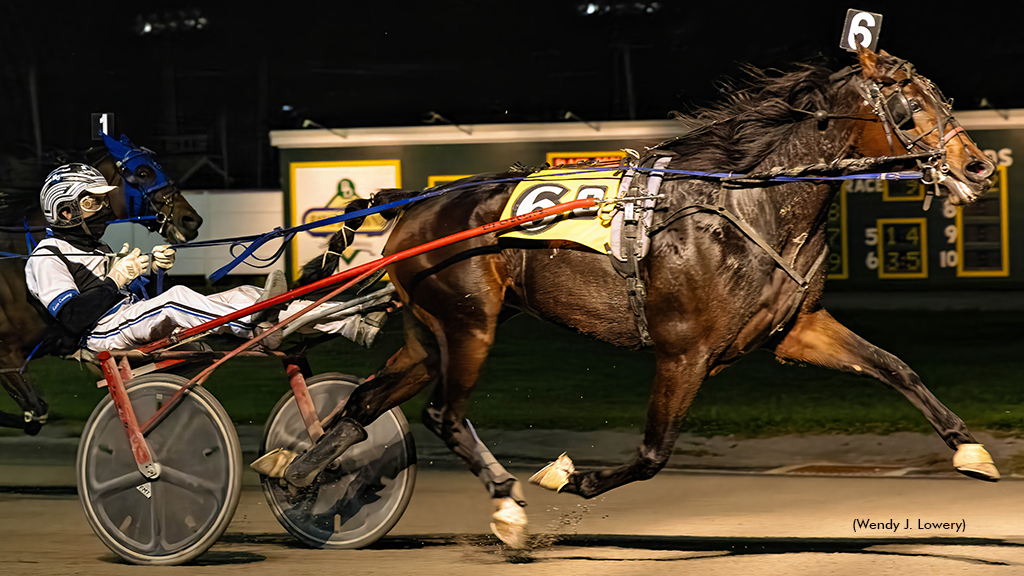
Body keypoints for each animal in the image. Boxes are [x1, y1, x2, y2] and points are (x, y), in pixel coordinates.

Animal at [278, 47, 991, 545]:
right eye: (912, 102)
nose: (978, 165)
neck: (748, 208)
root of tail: (411, 206)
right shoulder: (683, 352)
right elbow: (653, 453)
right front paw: (571, 476)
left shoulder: (795, 329)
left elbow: (895, 367)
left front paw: (969, 449)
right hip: (469, 325)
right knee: (443, 416)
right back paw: (505, 503)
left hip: (431, 334)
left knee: (365, 402)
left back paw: (301, 473)